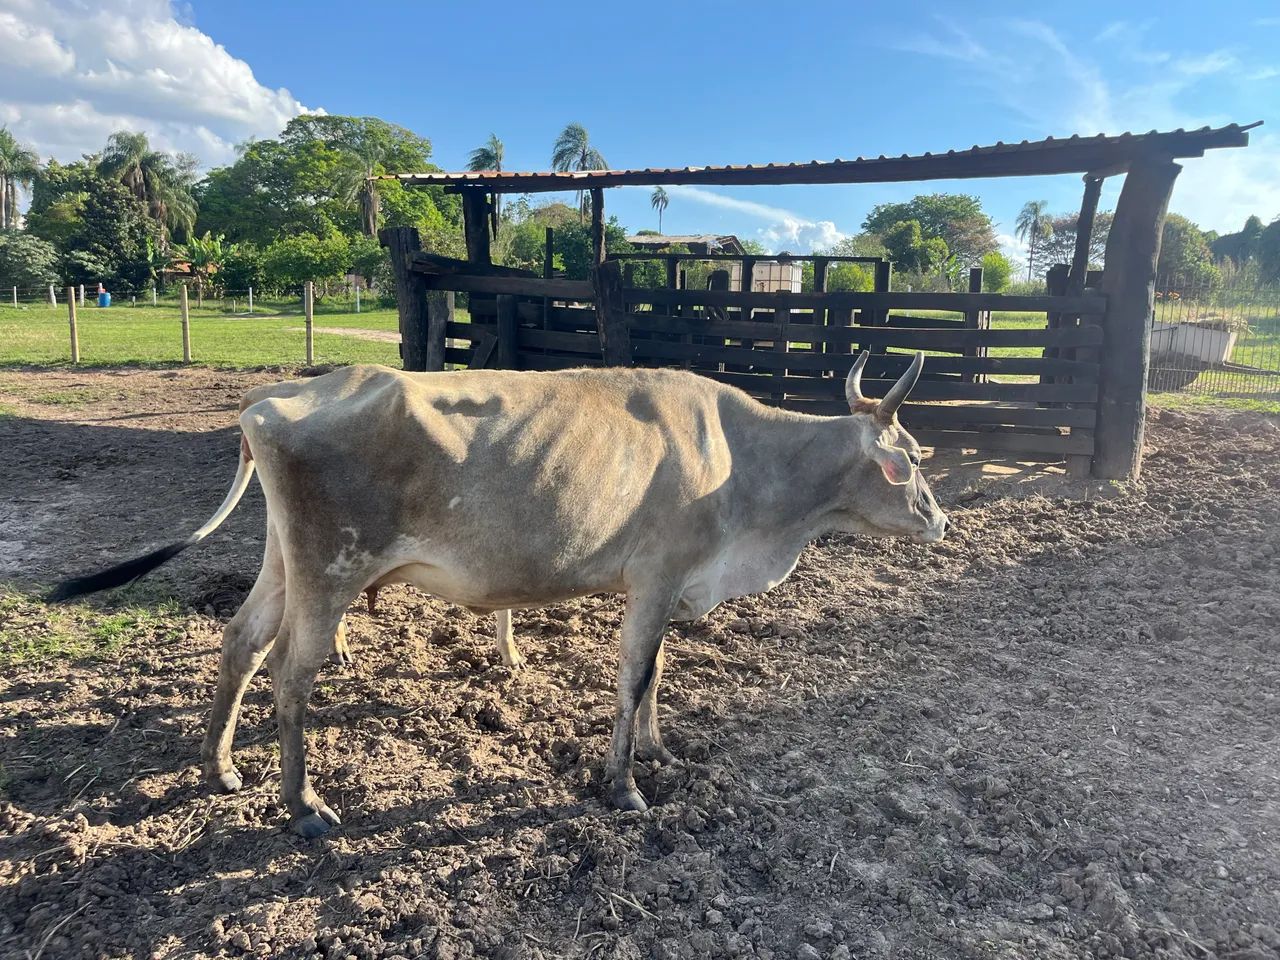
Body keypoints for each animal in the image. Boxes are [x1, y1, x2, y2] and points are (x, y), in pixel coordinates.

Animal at [50, 351, 947, 838]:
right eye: (910, 457)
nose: (941, 518)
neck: (740, 461)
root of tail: (270, 400)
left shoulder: (666, 586)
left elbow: (656, 677)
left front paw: (660, 751)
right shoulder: (657, 576)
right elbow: (633, 678)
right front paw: (625, 784)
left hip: (284, 561)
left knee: (239, 642)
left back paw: (221, 766)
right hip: (330, 569)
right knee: (290, 673)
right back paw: (302, 805)